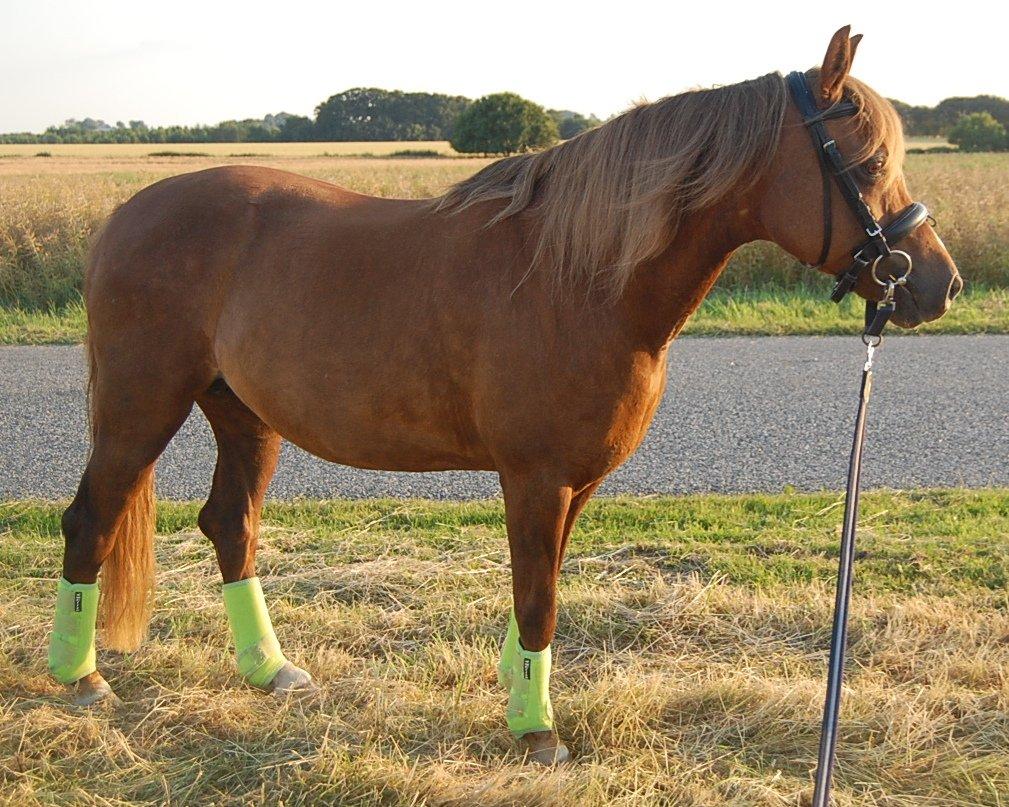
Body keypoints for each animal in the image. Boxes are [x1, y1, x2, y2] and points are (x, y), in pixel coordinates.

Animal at [48, 26, 960, 765]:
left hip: (244, 415)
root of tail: (122, 215)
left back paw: (270, 670)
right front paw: (537, 731)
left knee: (229, 524)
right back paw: (81, 678)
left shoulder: (575, 484)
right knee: (91, 518)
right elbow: (537, 597)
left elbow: (541, 588)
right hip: (141, 406)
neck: (581, 276)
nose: (937, 285)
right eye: (868, 163)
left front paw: (521, 696)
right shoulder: (534, 478)